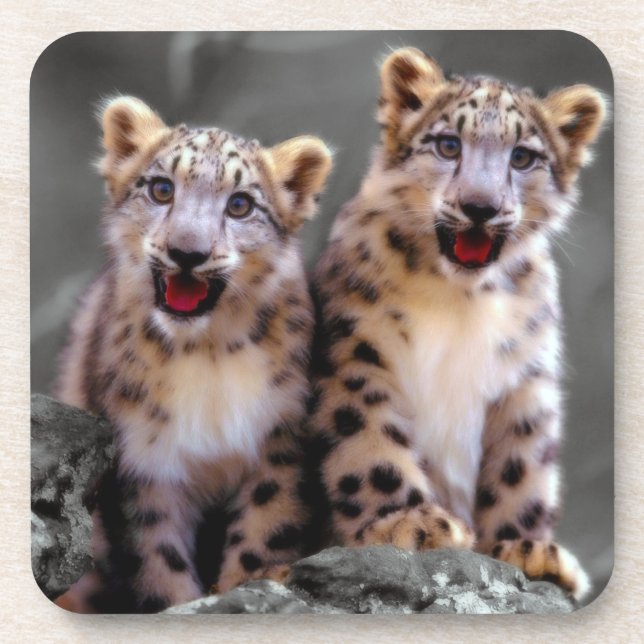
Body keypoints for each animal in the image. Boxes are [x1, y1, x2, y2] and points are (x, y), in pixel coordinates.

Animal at [53, 96, 332, 612]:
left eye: (240, 204)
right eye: (161, 188)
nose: (187, 251)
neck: (206, 353)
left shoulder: (279, 440)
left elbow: (264, 530)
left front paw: (246, 588)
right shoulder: (143, 460)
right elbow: (157, 559)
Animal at [307, 47, 606, 602]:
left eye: (523, 157)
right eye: (448, 144)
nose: (480, 206)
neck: (459, 299)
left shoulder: (526, 376)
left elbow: (522, 463)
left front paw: (527, 548)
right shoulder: (356, 351)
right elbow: (370, 439)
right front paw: (407, 523)